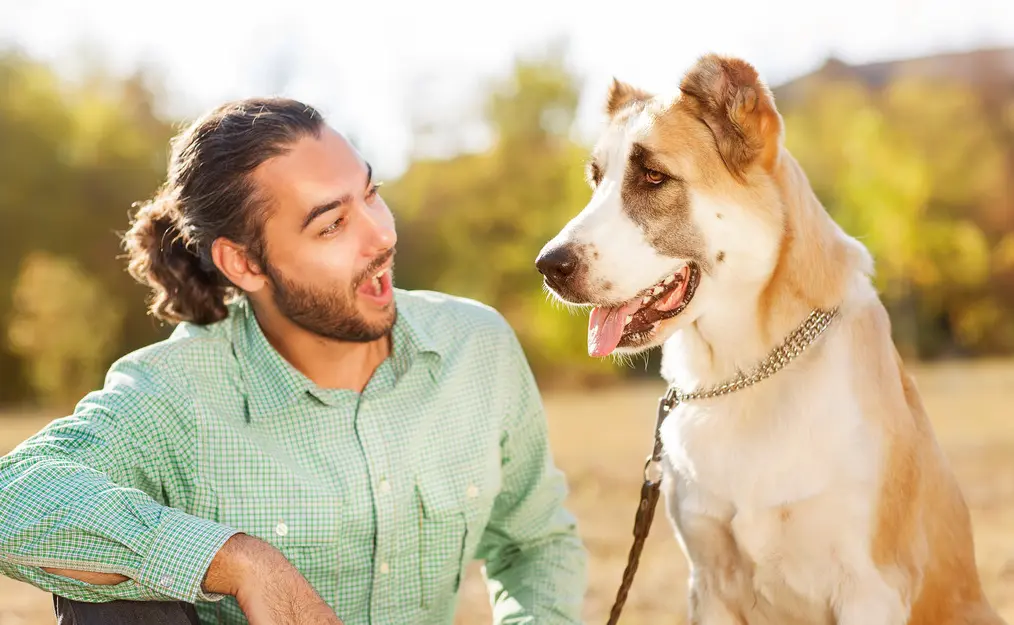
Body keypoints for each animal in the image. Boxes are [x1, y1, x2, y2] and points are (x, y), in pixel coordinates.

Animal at [535, 53, 1001, 625]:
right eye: (596, 179)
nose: (548, 266)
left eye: (653, 176)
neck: (743, 372)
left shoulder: (870, 589)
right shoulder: (709, 584)